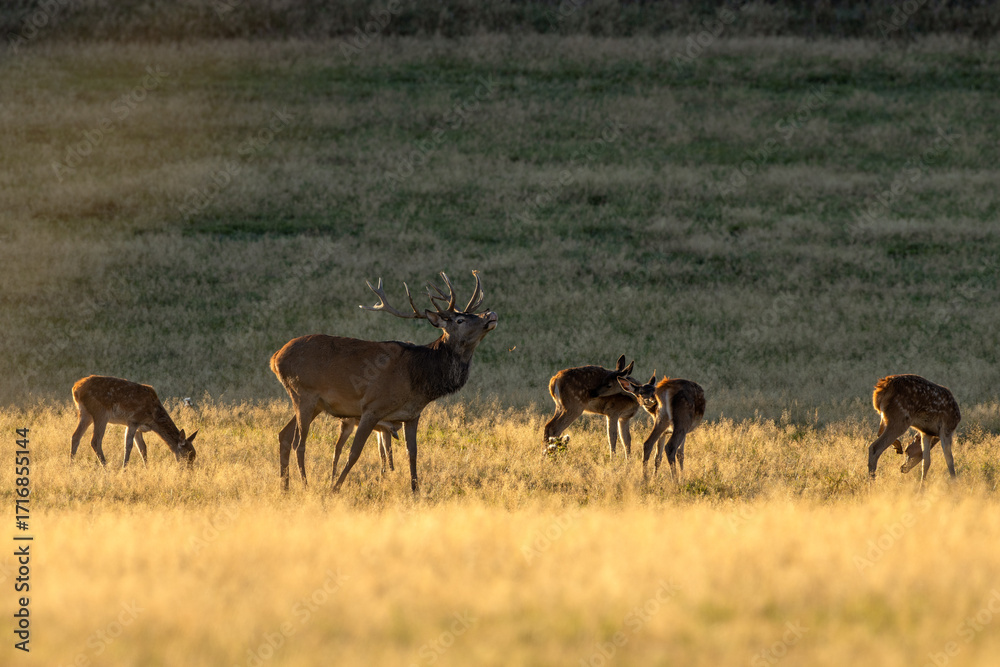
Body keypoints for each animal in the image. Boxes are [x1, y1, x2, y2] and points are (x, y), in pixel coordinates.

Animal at [70, 375, 198, 467]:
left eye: (194, 456)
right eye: (187, 455)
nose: (189, 470)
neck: (153, 418)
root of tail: (75, 388)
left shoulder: (139, 427)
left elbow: (143, 448)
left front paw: (146, 468)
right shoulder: (133, 421)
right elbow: (129, 445)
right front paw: (124, 469)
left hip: (85, 414)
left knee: (75, 436)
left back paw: (71, 465)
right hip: (100, 413)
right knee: (95, 441)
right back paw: (106, 468)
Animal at [271, 271, 497, 493]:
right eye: (459, 320)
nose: (490, 314)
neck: (419, 378)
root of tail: (275, 358)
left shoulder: (412, 415)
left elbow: (412, 453)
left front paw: (416, 492)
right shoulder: (372, 407)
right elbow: (355, 452)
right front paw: (334, 488)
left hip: (315, 403)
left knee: (284, 435)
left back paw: (285, 488)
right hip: (303, 393)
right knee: (299, 442)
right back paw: (305, 485)